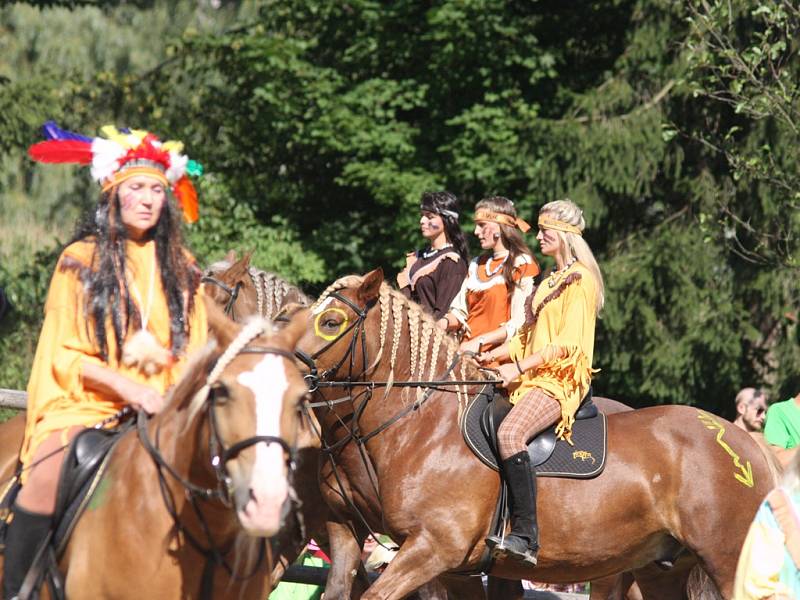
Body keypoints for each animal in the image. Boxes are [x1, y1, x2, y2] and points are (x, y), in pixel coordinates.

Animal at [294, 272, 776, 600]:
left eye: (331, 321)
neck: (421, 427)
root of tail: (744, 443)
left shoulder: (433, 549)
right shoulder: (360, 536)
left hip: (728, 561)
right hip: (662, 569)